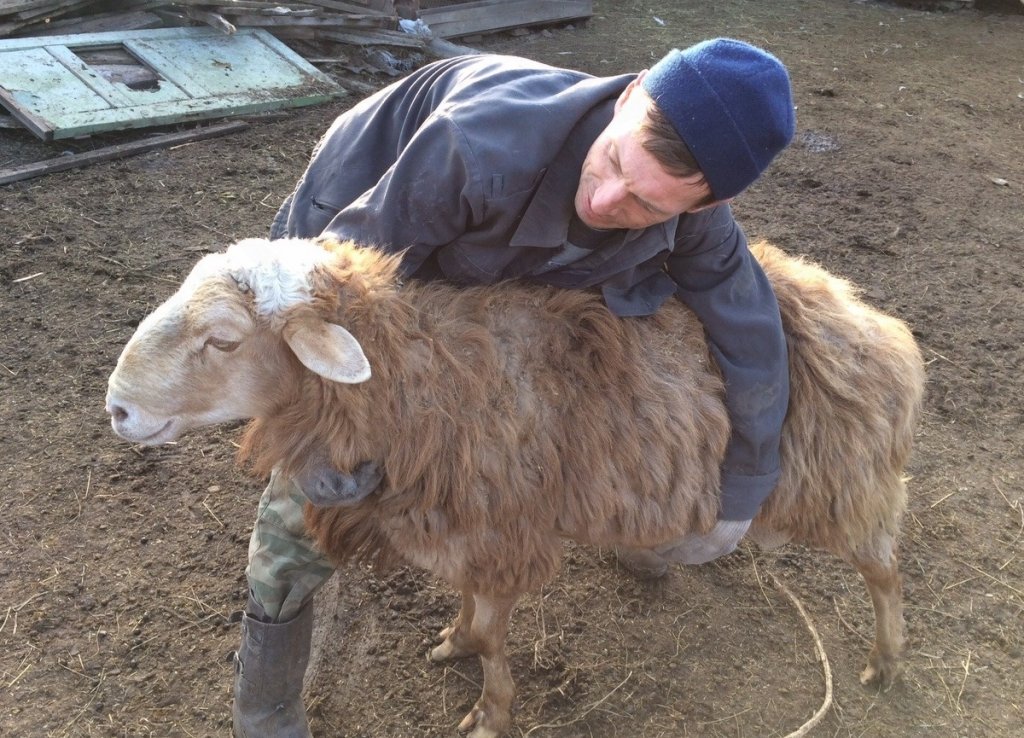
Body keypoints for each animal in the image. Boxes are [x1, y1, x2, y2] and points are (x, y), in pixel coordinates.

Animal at [105, 234, 929, 736]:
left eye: (222, 339)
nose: (117, 407)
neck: (419, 377)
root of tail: (876, 323)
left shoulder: (503, 526)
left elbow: (499, 637)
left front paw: (491, 710)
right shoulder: (465, 522)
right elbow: (474, 608)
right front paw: (456, 639)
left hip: (848, 481)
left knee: (886, 571)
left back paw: (888, 660)